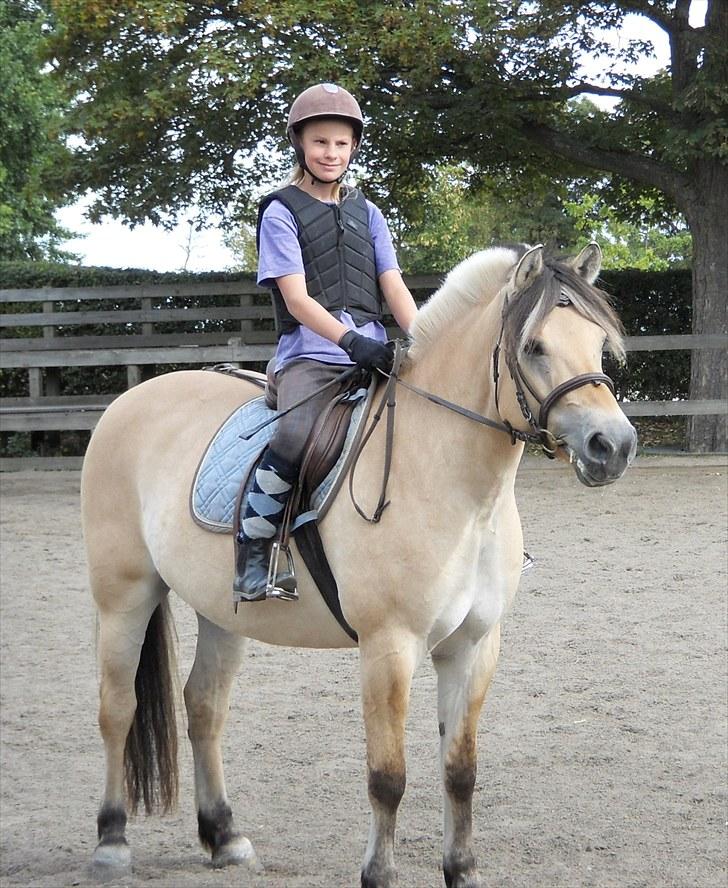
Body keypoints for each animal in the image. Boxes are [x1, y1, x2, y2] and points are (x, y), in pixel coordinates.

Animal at [81, 243, 636, 888]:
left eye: (598, 342)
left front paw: (462, 869)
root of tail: (134, 398)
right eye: (535, 346)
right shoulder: (389, 646)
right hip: (124, 598)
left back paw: (224, 836)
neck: (450, 480)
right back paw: (112, 841)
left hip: (221, 610)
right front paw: (378, 873)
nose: (613, 446)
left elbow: (460, 770)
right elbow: (388, 777)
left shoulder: (474, 646)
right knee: (118, 709)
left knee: (205, 708)